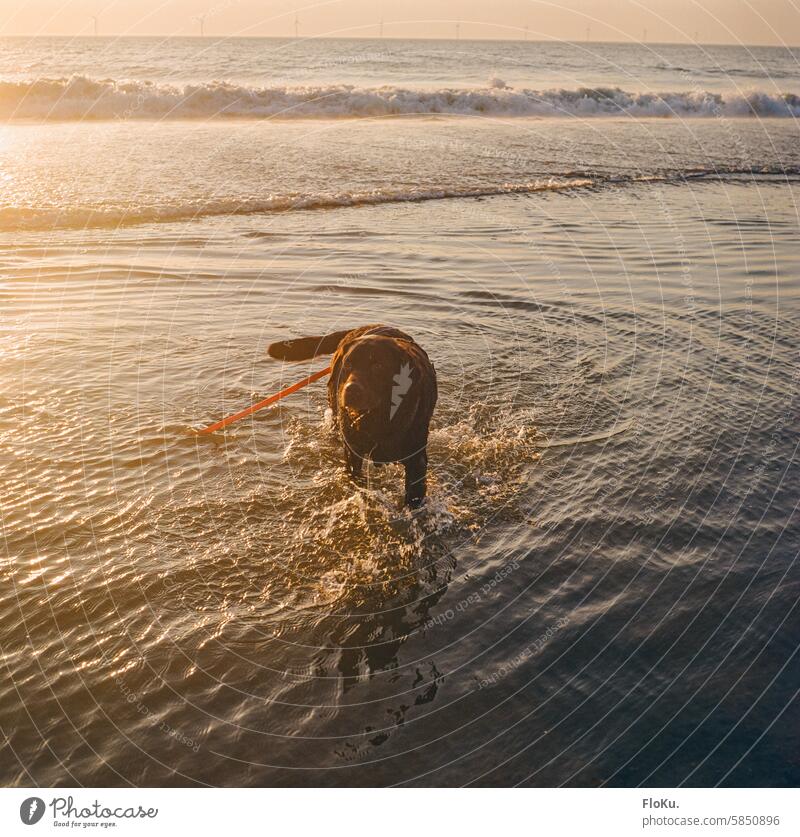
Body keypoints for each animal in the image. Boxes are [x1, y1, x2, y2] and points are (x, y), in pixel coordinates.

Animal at [268, 324, 438, 506]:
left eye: (378, 366)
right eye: (348, 364)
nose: (351, 390)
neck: (380, 419)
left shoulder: (417, 462)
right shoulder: (352, 452)